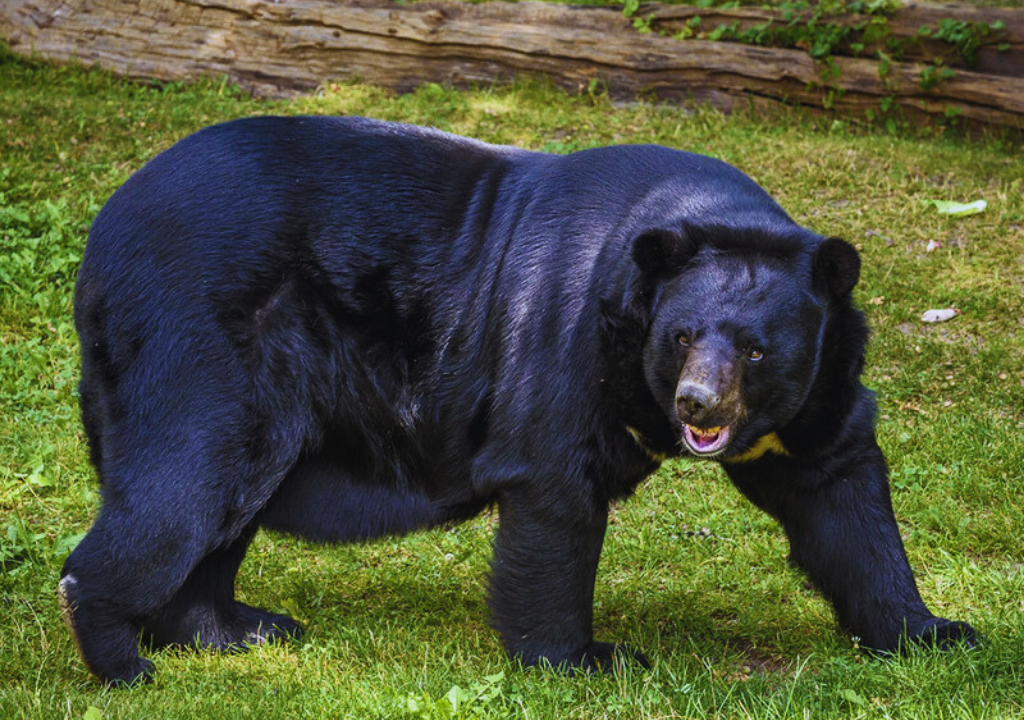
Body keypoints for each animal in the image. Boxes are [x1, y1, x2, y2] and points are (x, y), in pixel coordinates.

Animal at [59, 116, 976, 685]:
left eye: (757, 349)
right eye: (681, 335)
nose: (696, 406)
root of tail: (104, 231)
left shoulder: (816, 390)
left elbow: (838, 491)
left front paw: (935, 632)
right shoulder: (565, 332)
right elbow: (554, 490)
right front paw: (585, 657)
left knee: (222, 507)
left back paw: (235, 627)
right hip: (201, 341)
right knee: (187, 481)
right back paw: (124, 659)